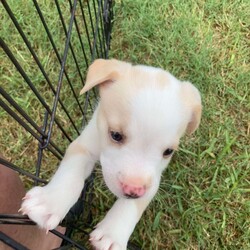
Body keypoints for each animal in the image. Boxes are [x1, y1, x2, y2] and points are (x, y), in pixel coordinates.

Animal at [20, 59, 202, 250]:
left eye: (168, 151)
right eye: (115, 135)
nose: (133, 190)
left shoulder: (153, 181)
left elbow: (133, 205)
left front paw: (112, 234)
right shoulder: (84, 146)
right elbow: (71, 174)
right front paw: (50, 202)